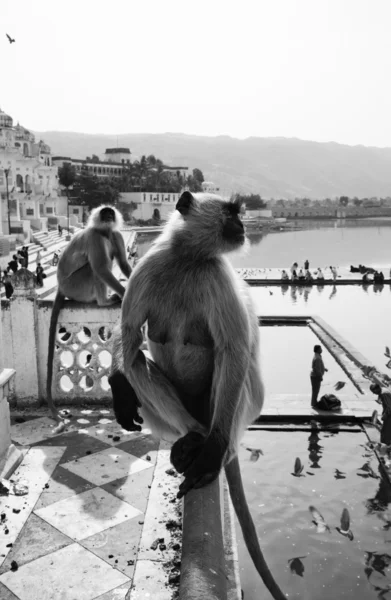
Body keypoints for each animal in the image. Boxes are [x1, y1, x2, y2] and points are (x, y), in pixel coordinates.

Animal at [46, 205, 132, 422]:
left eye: (110, 214)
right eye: (104, 214)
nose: (108, 217)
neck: (104, 231)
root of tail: (61, 286)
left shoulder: (115, 234)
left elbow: (124, 263)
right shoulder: (94, 236)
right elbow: (101, 268)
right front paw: (124, 294)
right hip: (77, 285)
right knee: (96, 268)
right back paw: (104, 301)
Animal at [108, 192, 286, 600]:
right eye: (231, 212)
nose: (244, 224)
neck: (187, 258)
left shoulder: (217, 274)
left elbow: (234, 350)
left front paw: (211, 452)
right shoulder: (147, 267)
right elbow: (128, 333)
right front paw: (117, 383)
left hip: (236, 410)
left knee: (228, 358)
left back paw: (211, 444)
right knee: (135, 358)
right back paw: (190, 434)